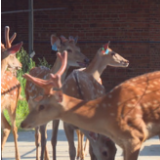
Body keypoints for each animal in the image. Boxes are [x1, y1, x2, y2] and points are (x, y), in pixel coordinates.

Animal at [21, 51, 160, 160]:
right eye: (104, 152)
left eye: (116, 151)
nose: (126, 61)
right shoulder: (67, 123)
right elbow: (71, 150)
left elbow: (90, 148)